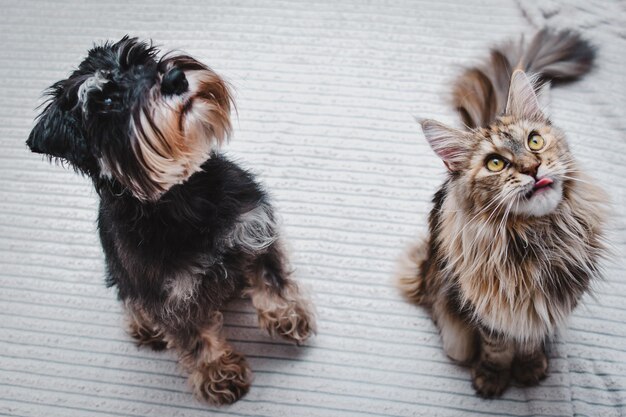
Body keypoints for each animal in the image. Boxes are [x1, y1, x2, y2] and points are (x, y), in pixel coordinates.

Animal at [26, 37, 314, 404]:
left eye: (143, 58)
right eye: (106, 101)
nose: (175, 78)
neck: (181, 195)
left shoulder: (254, 231)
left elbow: (272, 279)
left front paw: (288, 316)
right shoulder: (167, 298)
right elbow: (194, 338)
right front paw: (218, 374)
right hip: (122, 277)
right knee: (127, 297)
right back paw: (143, 326)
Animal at [394, 29, 604, 396]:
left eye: (535, 142)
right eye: (495, 163)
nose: (532, 167)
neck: (534, 240)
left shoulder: (547, 306)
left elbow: (531, 339)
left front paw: (530, 367)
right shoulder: (487, 311)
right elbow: (497, 347)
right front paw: (493, 377)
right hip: (450, 328)